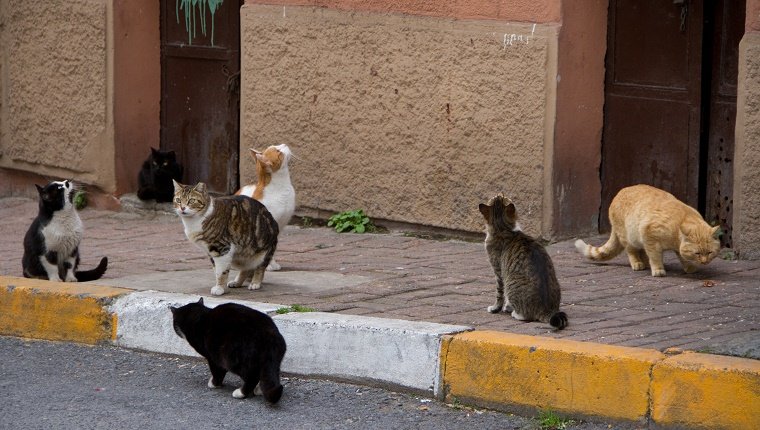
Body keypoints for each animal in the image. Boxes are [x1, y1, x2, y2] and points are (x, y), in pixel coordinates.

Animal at [236, 144, 296, 272]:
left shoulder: (280, 226)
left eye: (278, 145)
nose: (284, 144)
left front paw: (272, 263)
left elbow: (273, 248)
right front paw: (267, 265)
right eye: (278, 151)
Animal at [478, 193, 568, 330]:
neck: (503, 228)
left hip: (510, 283)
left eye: (502, 197)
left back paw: (516, 314)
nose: (501, 193)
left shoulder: (498, 272)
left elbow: (499, 294)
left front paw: (496, 308)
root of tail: (546, 310)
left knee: (526, 316)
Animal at [572, 183, 720, 278]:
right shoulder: (650, 235)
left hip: (638, 239)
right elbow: (655, 256)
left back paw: (644, 262)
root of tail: (620, 192)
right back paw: (637, 263)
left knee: (642, 251)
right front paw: (658, 269)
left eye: (709, 252)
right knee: (631, 251)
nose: (704, 261)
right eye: (697, 253)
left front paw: (689, 267)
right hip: (629, 238)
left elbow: (681, 256)